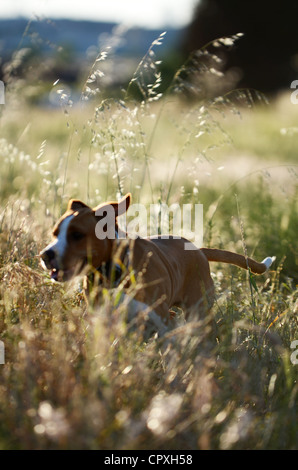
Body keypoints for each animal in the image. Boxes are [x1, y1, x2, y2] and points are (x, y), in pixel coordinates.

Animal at [40, 193, 274, 332]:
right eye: (54, 234)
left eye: (77, 235)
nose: (45, 255)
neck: (113, 272)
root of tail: (199, 250)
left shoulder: (160, 322)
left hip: (198, 310)